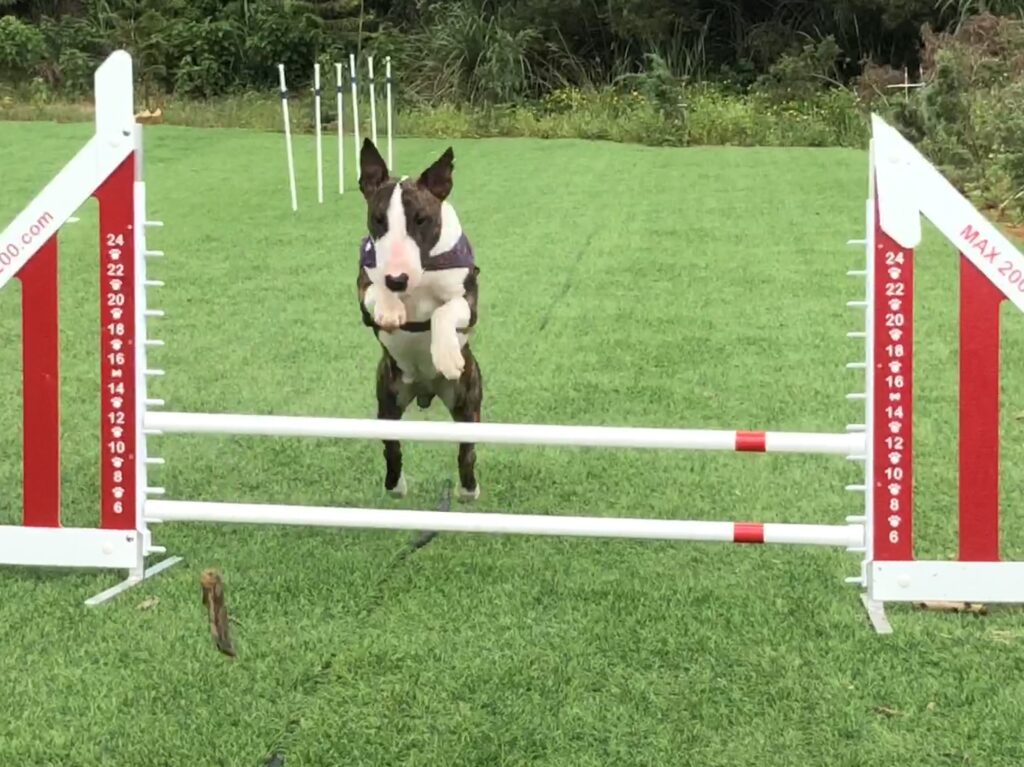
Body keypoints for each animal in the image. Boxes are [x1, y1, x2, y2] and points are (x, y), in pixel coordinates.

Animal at [354, 140, 481, 501]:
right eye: (378, 219)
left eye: (421, 220)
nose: (398, 279)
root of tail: (425, 389)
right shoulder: (362, 290)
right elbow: (374, 289)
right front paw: (390, 308)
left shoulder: (469, 303)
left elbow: (443, 311)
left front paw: (446, 355)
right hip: (388, 398)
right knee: (392, 447)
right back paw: (395, 486)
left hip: (468, 400)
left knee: (467, 450)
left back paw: (468, 490)